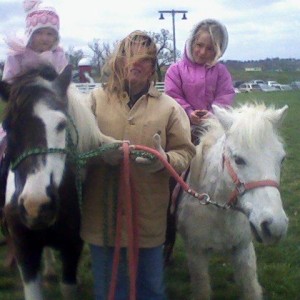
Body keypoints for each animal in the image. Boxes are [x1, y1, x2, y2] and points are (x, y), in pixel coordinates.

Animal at [177, 103, 290, 300]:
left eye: (281, 158)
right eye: (238, 159)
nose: (274, 227)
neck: (219, 211)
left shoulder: (243, 250)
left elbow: (250, 288)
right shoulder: (196, 253)